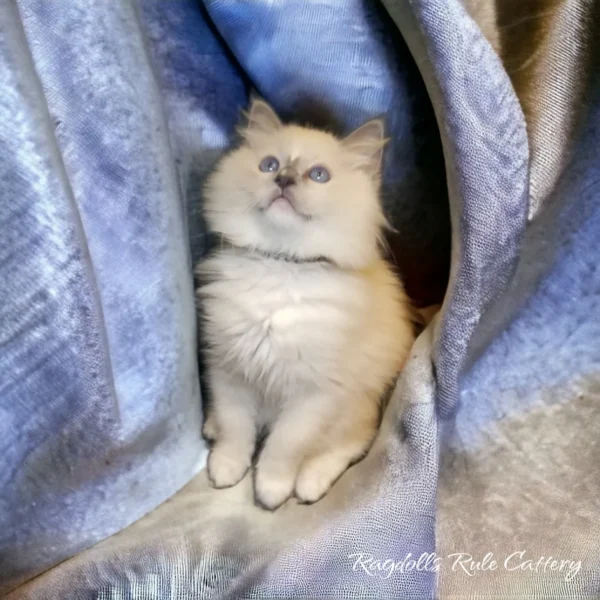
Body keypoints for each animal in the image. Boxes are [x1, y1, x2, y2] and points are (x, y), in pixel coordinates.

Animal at [195, 98, 414, 510]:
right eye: (269, 165)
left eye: (318, 175)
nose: (284, 179)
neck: (281, 266)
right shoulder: (228, 369)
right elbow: (236, 430)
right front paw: (227, 469)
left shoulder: (314, 395)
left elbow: (283, 447)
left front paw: (271, 490)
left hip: (356, 405)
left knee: (351, 445)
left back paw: (309, 486)